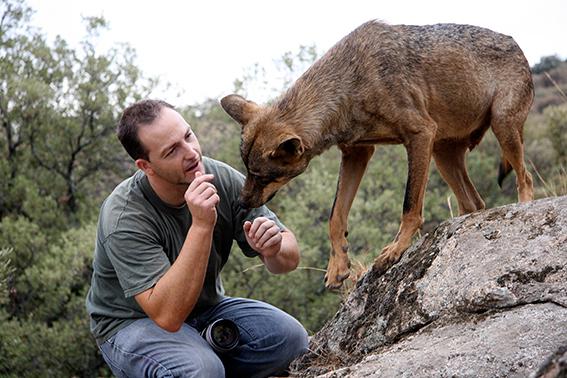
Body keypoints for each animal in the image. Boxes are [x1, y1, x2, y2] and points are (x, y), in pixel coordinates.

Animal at [220, 19, 536, 288]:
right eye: (247, 171)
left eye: (263, 177)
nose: (241, 203)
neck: (349, 83)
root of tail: (515, 42)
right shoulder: (356, 153)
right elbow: (335, 216)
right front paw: (338, 265)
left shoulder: (419, 135)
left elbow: (409, 206)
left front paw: (396, 248)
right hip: (442, 155)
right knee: (475, 203)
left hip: (500, 128)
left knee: (525, 179)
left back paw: (522, 210)